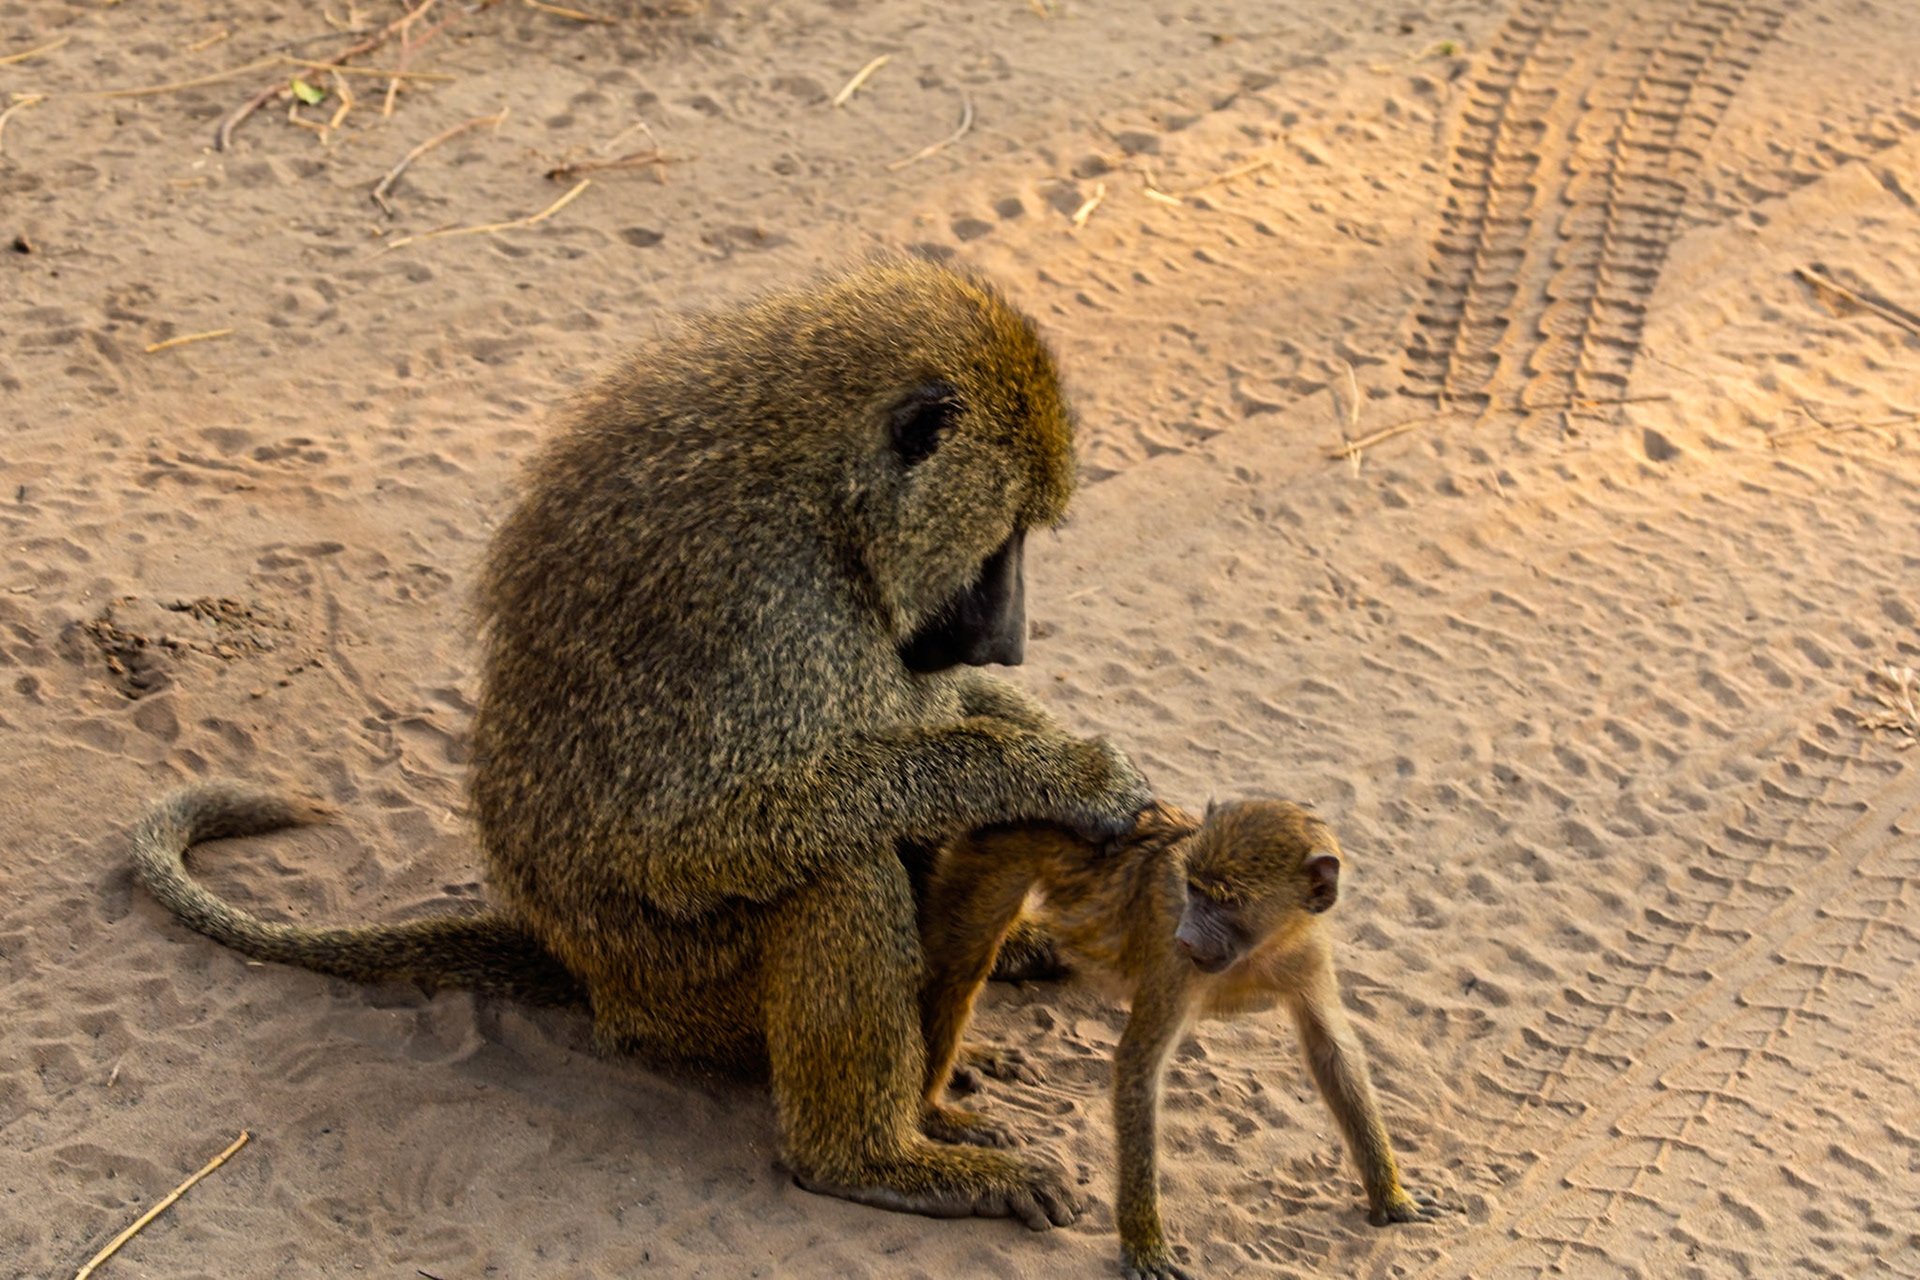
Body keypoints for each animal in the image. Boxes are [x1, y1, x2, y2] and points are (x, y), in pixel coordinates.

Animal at [130, 260, 1153, 1232]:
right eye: (1004, 537)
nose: (1010, 643)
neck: (824, 489)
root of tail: (592, 975)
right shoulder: (765, 601)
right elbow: (681, 842)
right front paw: (1056, 775)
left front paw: (1051, 747)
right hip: (688, 988)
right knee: (839, 868)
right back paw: (871, 1161)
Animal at [917, 799, 1438, 1279]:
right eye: (1194, 890)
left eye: (1229, 901)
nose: (1188, 937)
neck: (1255, 952)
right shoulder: (1171, 953)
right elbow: (1138, 1068)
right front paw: (1144, 1244)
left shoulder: (1304, 952)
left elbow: (1333, 1052)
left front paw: (1391, 1197)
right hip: (988, 855)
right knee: (959, 973)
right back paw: (932, 1110)